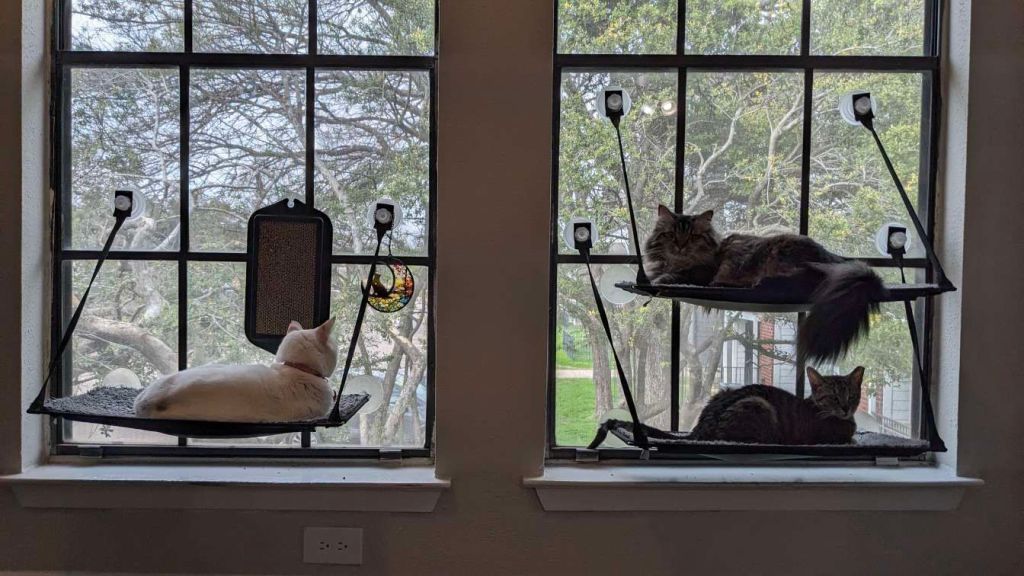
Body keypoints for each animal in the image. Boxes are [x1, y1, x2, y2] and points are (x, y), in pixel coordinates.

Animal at [644, 205, 887, 363]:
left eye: (693, 237)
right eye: (671, 235)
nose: (681, 246)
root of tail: (835, 257)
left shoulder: (700, 273)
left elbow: (674, 276)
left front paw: (661, 280)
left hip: (780, 255)